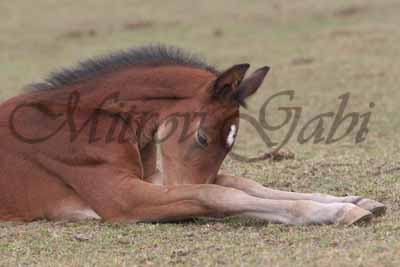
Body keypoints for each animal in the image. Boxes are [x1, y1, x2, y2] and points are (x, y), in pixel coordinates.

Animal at [0, 45, 388, 224]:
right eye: (202, 138)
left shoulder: (153, 177)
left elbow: (241, 183)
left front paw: (355, 201)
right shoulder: (123, 199)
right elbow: (214, 193)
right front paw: (337, 212)